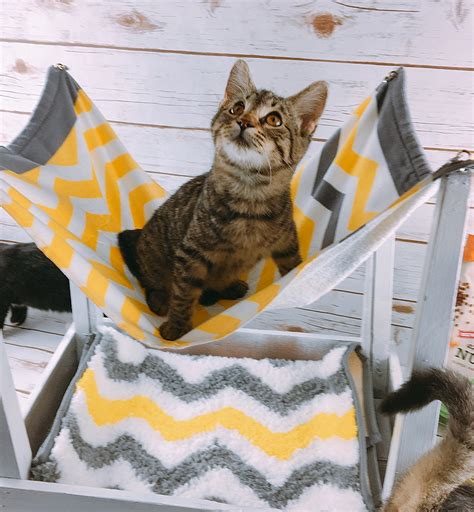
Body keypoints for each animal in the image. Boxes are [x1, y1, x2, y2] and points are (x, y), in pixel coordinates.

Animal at [117, 60, 328, 340]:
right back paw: (160, 298)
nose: (243, 121)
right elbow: (183, 294)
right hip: (153, 255)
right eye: (237, 108)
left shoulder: (287, 242)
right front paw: (177, 326)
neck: (249, 195)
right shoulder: (191, 254)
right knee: (150, 281)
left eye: (274, 119)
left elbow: (293, 264)